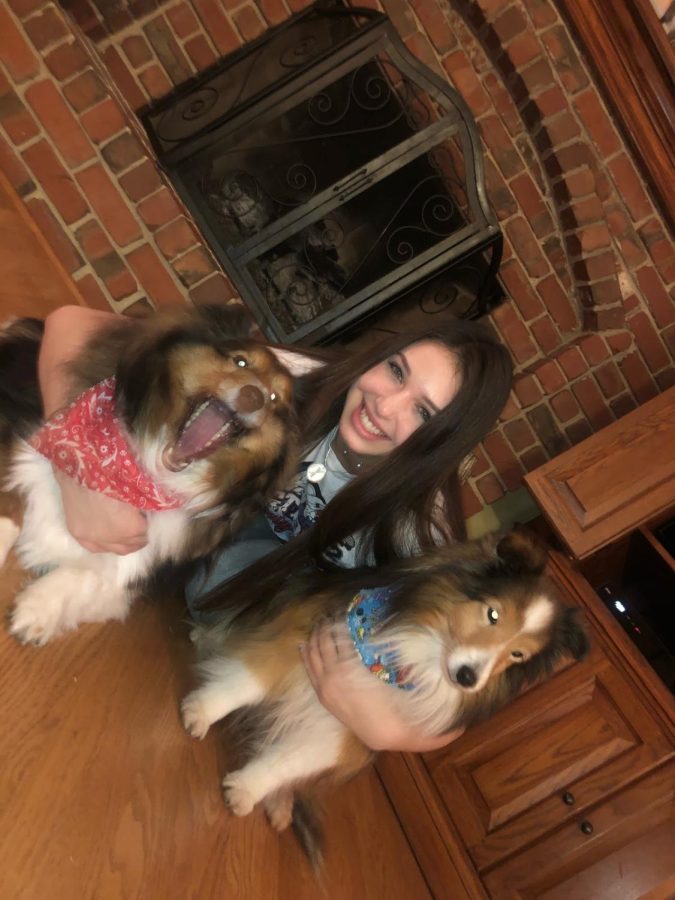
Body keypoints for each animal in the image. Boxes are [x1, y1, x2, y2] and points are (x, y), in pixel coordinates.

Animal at [0, 306, 304, 644]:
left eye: (276, 400)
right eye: (240, 361)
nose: (254, 397)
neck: (142, 473)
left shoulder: (136, 563)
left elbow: (93, 577)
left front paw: (36, 611)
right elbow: (11, 506)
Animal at [182, 528, 588, 864]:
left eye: (518, 654)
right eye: (493, 614)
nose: (467, 678)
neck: (406, 660)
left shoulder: (347, 726)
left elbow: (289, 761)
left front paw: (246, 789)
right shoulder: (294, 645)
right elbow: (246, 682)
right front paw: (200, 712)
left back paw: (280, 804)